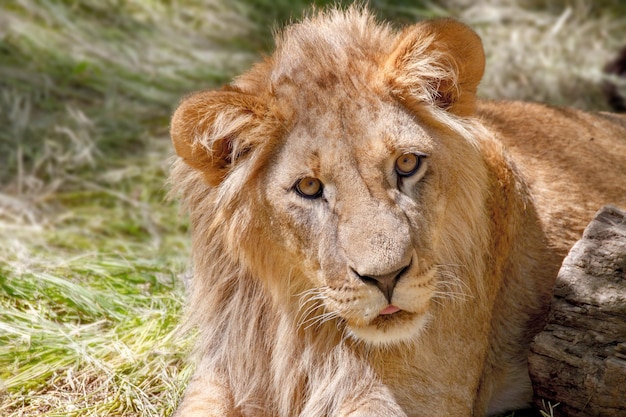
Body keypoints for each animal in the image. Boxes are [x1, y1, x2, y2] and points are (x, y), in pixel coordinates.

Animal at [167, 6, 624, 416]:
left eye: (406, 164)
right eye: (309, 187)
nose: (386, 278)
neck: (299, 327)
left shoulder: (417, 389)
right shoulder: (224, 372)